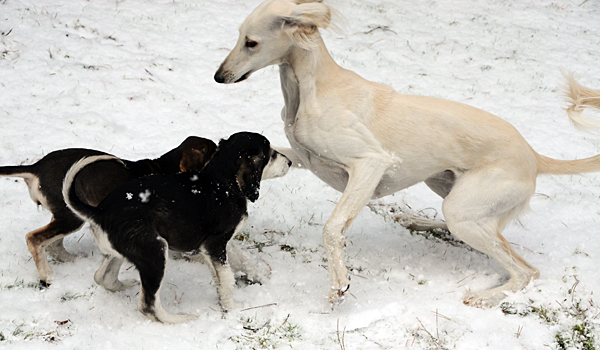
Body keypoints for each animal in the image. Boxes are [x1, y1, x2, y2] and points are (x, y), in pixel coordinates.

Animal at [0, 135, 216, 286]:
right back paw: (48, 276)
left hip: (66, 216)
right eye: (215, 150)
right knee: (35, 239)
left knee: (54, 244)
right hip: (70, 217)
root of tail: (36, 167)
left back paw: (73, 260)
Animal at [62, 133, 290, 324]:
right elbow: (227, 277)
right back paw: (179, 319)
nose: (289, 162)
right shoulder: (216, 244)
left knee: (103, 277)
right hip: (155, 252)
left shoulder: (212, 247)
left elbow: (229, 269)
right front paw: (233, 307)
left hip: (123, 251)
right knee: (148, 305)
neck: (223, 181)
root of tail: (99, 212)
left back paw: (124, 285)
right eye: (270, 154)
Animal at [214, 0, 600, 306]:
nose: (219, 76)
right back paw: (417, 220)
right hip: (448, 189)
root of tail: (533, 156)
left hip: (465, 208)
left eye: (251, 42)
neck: (313, 88)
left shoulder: (369, 164)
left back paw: (485, 297)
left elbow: (333, 228)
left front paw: (339, 285)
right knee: (467, 228)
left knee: (525, 271)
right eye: (238, 36)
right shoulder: (299, 156)